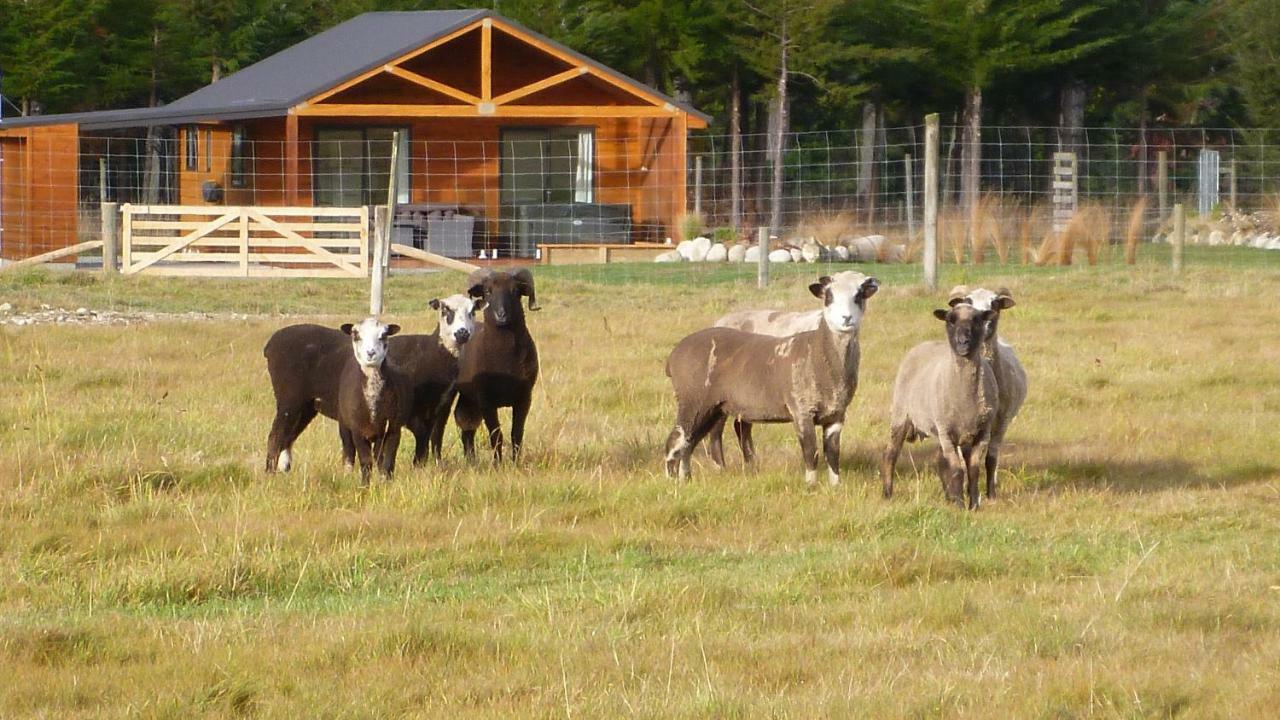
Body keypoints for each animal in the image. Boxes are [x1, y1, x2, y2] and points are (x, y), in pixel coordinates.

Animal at [262, 293, 481, 468]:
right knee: (275, 437)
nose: (462, 333)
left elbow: (434, 439)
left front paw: (430, 468)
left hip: (306, 404)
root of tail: (271, 344)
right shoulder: (407, 412)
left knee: (287, 437)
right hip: (289, 399)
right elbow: (418, 439)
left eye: (472, 311)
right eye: (446, 309)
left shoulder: (441, 406)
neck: (431, 353)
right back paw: (270, 475)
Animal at [455, 266, 540, 461]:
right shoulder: (486, 399)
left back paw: (471, 461)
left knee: (467, 428)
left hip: (468, 398)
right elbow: (496, 435)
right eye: (487, 291)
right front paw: (497, 464)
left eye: (515, 291)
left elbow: (517, 434)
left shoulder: (525, 397)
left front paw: (515, 463)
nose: (501, 315)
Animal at [660, 271, 880, 484]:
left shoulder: (837, 414)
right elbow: (811, 452)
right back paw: (672, 483)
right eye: (829, 297)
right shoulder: (801, 409)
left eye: (859, 295)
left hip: (713, 407)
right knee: (676, 440)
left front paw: (835, 487)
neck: (819, 350)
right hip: (693, 399)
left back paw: (686, 479)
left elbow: (833, 453)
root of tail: (673, 356)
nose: (846, 318)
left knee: (690, 442)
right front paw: (811, 486)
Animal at [880, 299, 998, 507]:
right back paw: (887, 493)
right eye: (950, 320)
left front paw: (973, 505)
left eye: (977, 320)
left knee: (939, 458)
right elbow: (957, 470)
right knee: (891, 453)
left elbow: (973, 470)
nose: (963, 342)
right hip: (901, 415)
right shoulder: (946, 431)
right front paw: (960, 505)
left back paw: (948, 496)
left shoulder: (982, 432)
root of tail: (924, 344)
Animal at [952, 283, 1029, 497]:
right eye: (968, 301)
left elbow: (991, 458)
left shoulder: (1002, 419)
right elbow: (964, 460)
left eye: (995, 304)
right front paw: (964, 488)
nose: (983, 324)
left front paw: (991, 494)